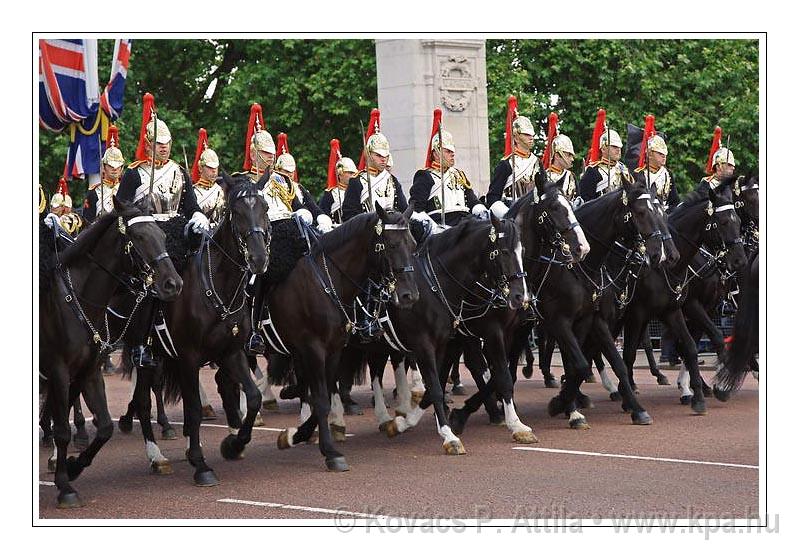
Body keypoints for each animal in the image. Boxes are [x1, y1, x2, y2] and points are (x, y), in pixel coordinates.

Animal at [39, 197, 181, 508]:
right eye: (139, 237)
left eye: (162, 235)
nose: (173, 284)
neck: (77, 299)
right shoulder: (58, 371)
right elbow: (63, 428)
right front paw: (65, 486)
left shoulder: (90, 371)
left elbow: (105, 426)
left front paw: (75, 466)